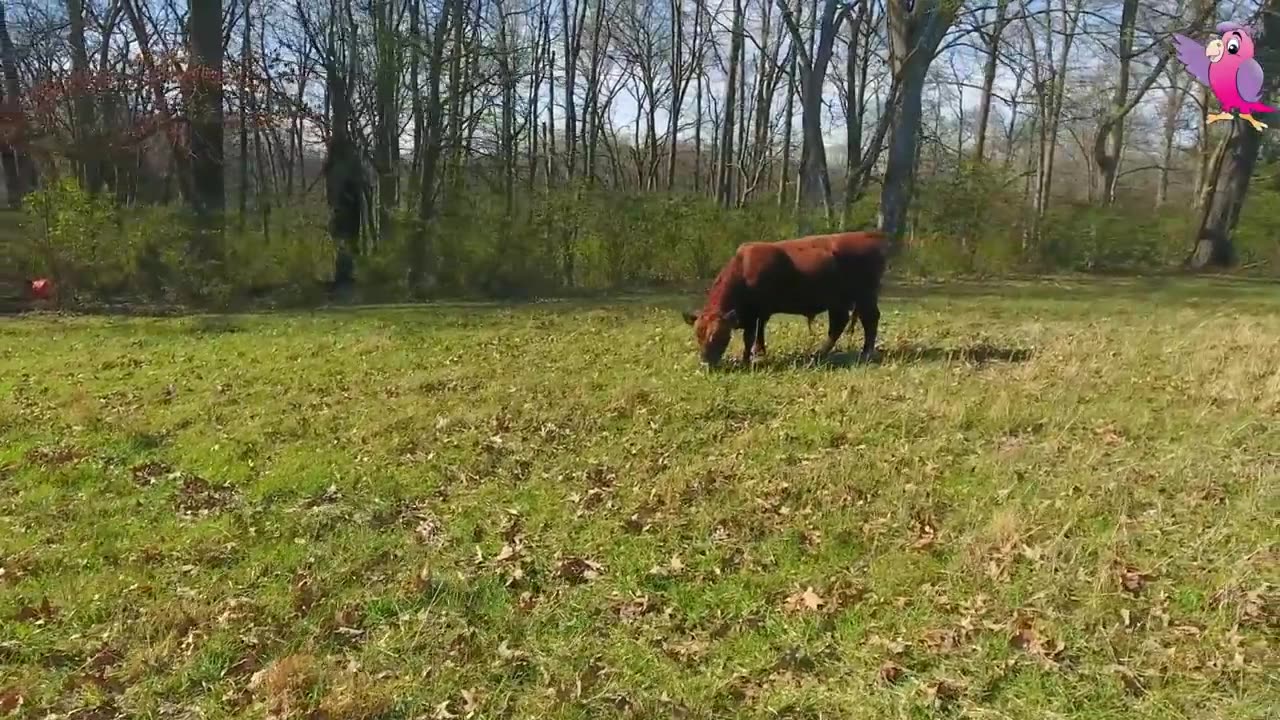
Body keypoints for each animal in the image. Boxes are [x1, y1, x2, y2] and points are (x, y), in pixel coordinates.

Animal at [680, 229, 890, 363]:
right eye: (698, 334)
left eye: (721, 335)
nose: (706, 362)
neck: (743, 270)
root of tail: (870, 235)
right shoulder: (758, 314)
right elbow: (759, 333)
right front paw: (759, 352)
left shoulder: (754, 314)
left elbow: (750, 337)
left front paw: (748, 359)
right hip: (839, 302)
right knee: (839, 324)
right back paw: (820, 353)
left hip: (865, 296)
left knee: (870, 320)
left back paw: (865, 353)